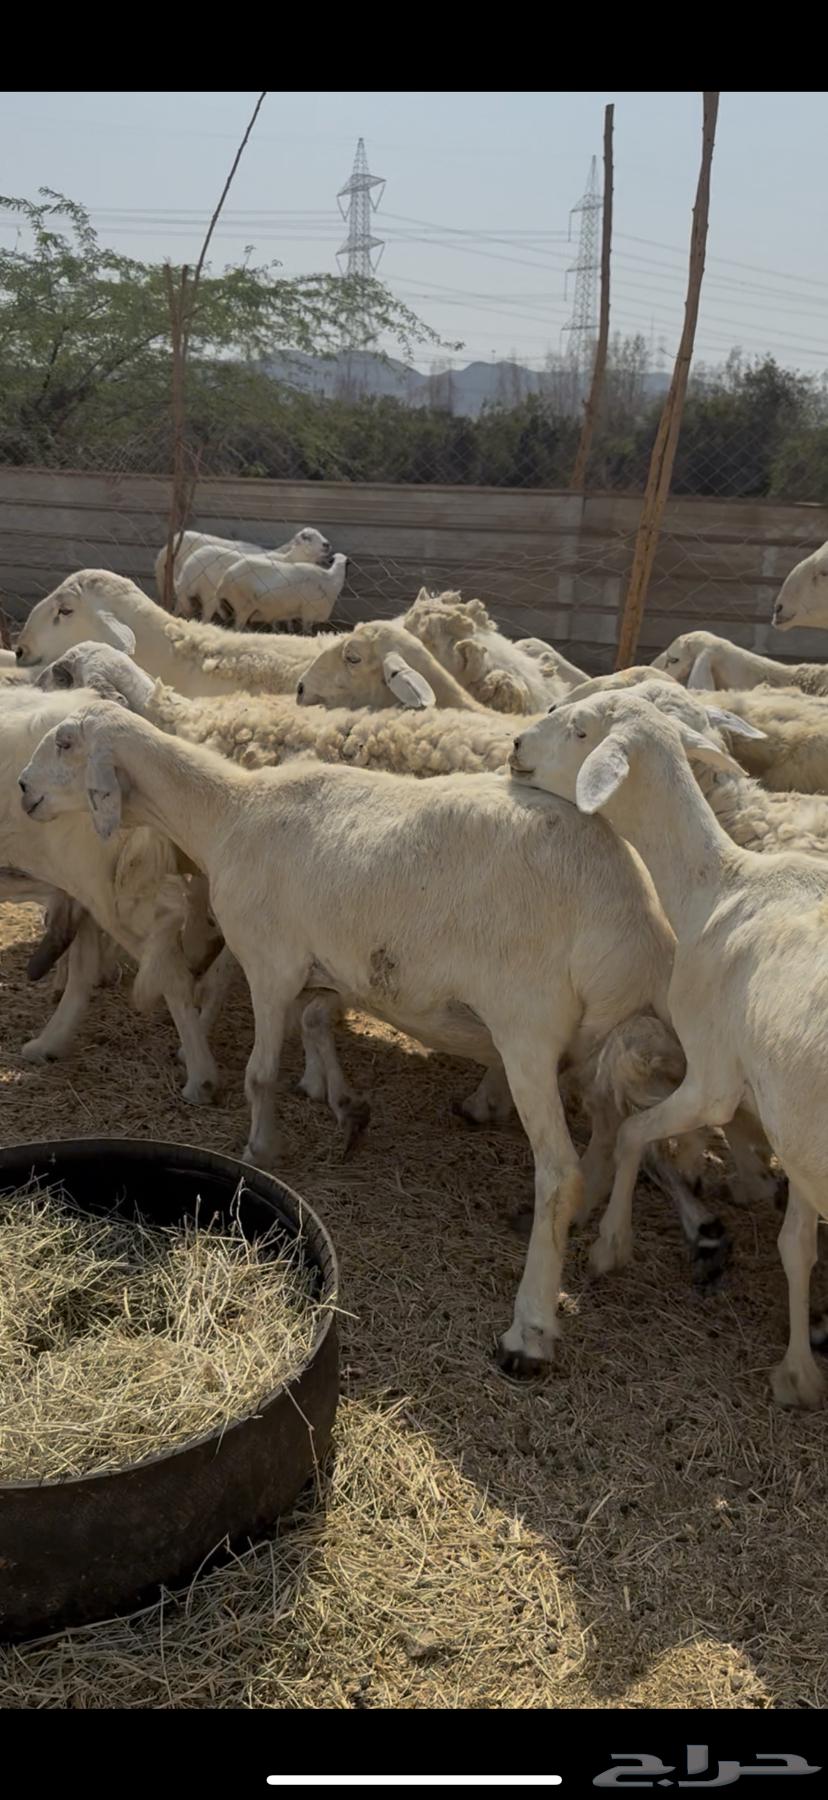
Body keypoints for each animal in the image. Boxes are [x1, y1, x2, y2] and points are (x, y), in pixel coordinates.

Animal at [20, 696, 684, 1375]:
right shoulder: (327, 963)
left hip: (528, 1030)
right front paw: (344, 1107)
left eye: (66, 743)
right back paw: (601, 1239)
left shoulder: (271, 961)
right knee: (614, 1135)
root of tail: (633, 923)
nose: (23, 791)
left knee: (560, 1172)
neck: (227, 812)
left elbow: (260, 1073)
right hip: (602, 1042)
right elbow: (315, 1023)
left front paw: (262, 1147)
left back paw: (529, 1331)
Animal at [215, 551, 349, 632]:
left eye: (346, 563)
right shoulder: (308, 612)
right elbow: (307, 632)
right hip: (243, 605)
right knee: (237, 628)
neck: (331, 579)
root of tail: (223, 580)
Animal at [509, 688, 828, 1407]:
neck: (720, 884)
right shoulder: (783, 1123)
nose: (515, 745)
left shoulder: (713, 1080)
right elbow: (797, 1243)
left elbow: (633, 1133)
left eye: (581, 730)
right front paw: (801, 1365)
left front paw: (610, 1243)